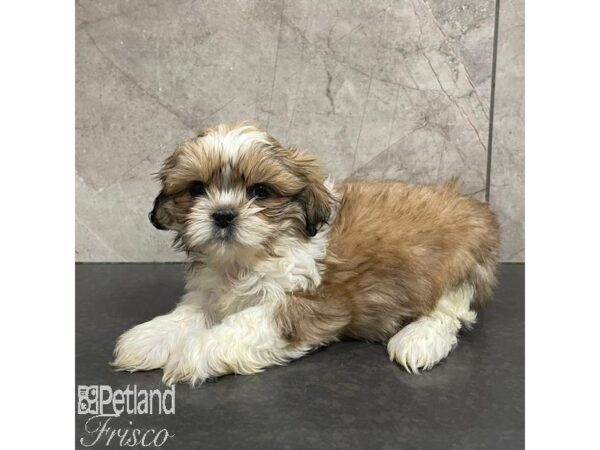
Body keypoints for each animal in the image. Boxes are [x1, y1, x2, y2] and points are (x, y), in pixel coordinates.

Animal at [112, 121, 502, 384]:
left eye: (260, 191)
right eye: (196, 189)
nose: (223, 214)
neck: (245, 260)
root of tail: (477, 211)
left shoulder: (306, 303)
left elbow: (241, 325)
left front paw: (193, 351)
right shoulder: (211, 293)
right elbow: (190, 315)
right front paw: (150, 337)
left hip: (456, 265)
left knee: (451, 312)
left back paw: (418, 340)